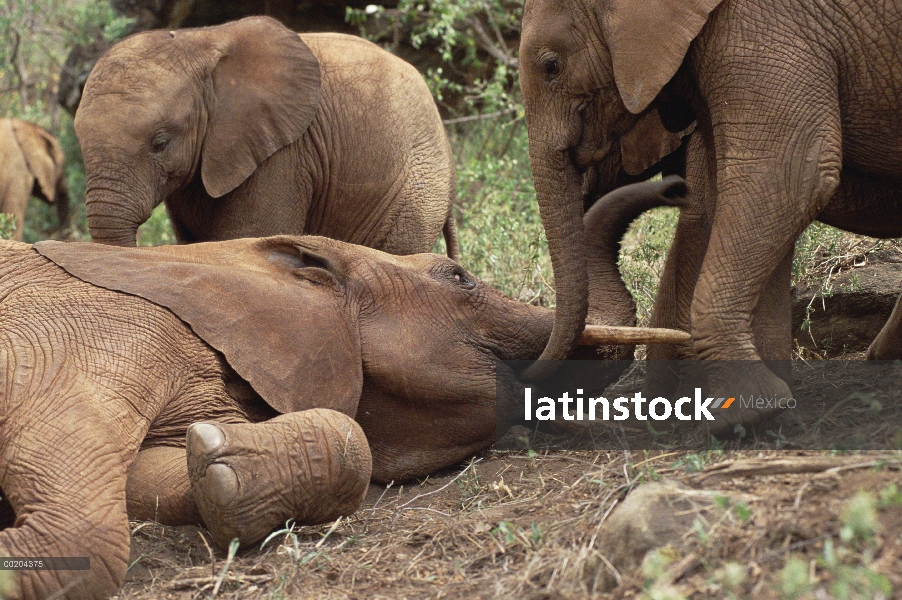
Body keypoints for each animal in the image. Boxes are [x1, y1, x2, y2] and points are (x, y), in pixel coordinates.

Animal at [0, 176, 688, 596]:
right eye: (458, 276)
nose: (675, 184)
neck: (235, 257)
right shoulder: (97, 332)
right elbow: (88, 525)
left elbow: (153, 476)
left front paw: (214, 463)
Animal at [520, 0, 902, 432]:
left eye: (551, 66)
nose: (673, 189)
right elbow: (728, 199)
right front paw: (766, 406)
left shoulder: (762, 29)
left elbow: (786, 171)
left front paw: (744, 413)